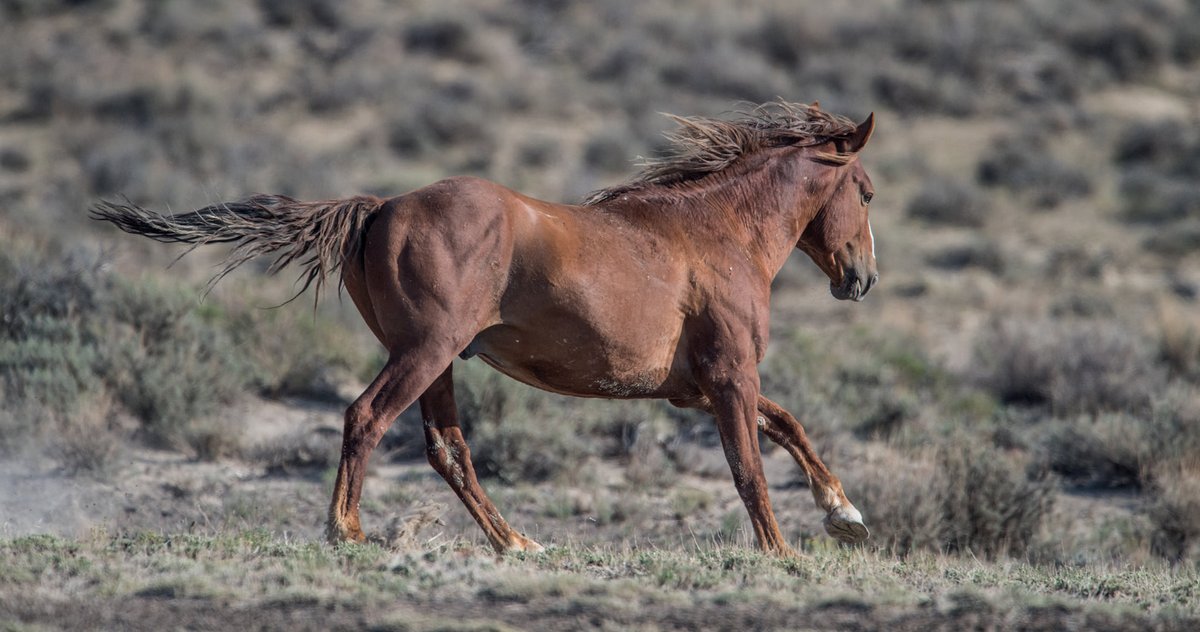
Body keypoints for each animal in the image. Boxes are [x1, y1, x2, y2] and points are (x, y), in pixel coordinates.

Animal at [92, 101, 879, 557]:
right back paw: (347, 531)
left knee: (448, 451)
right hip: (425, 351)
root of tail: (380, 207)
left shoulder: (696, 387)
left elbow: (789, 426)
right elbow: (750, 465)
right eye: (866, 191)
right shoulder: (728, 376)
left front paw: (844, 514)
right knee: (366, 417)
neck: (718, 231)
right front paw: (783, 553)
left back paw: (517, 543)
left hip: (436, 361)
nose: (861, 279)